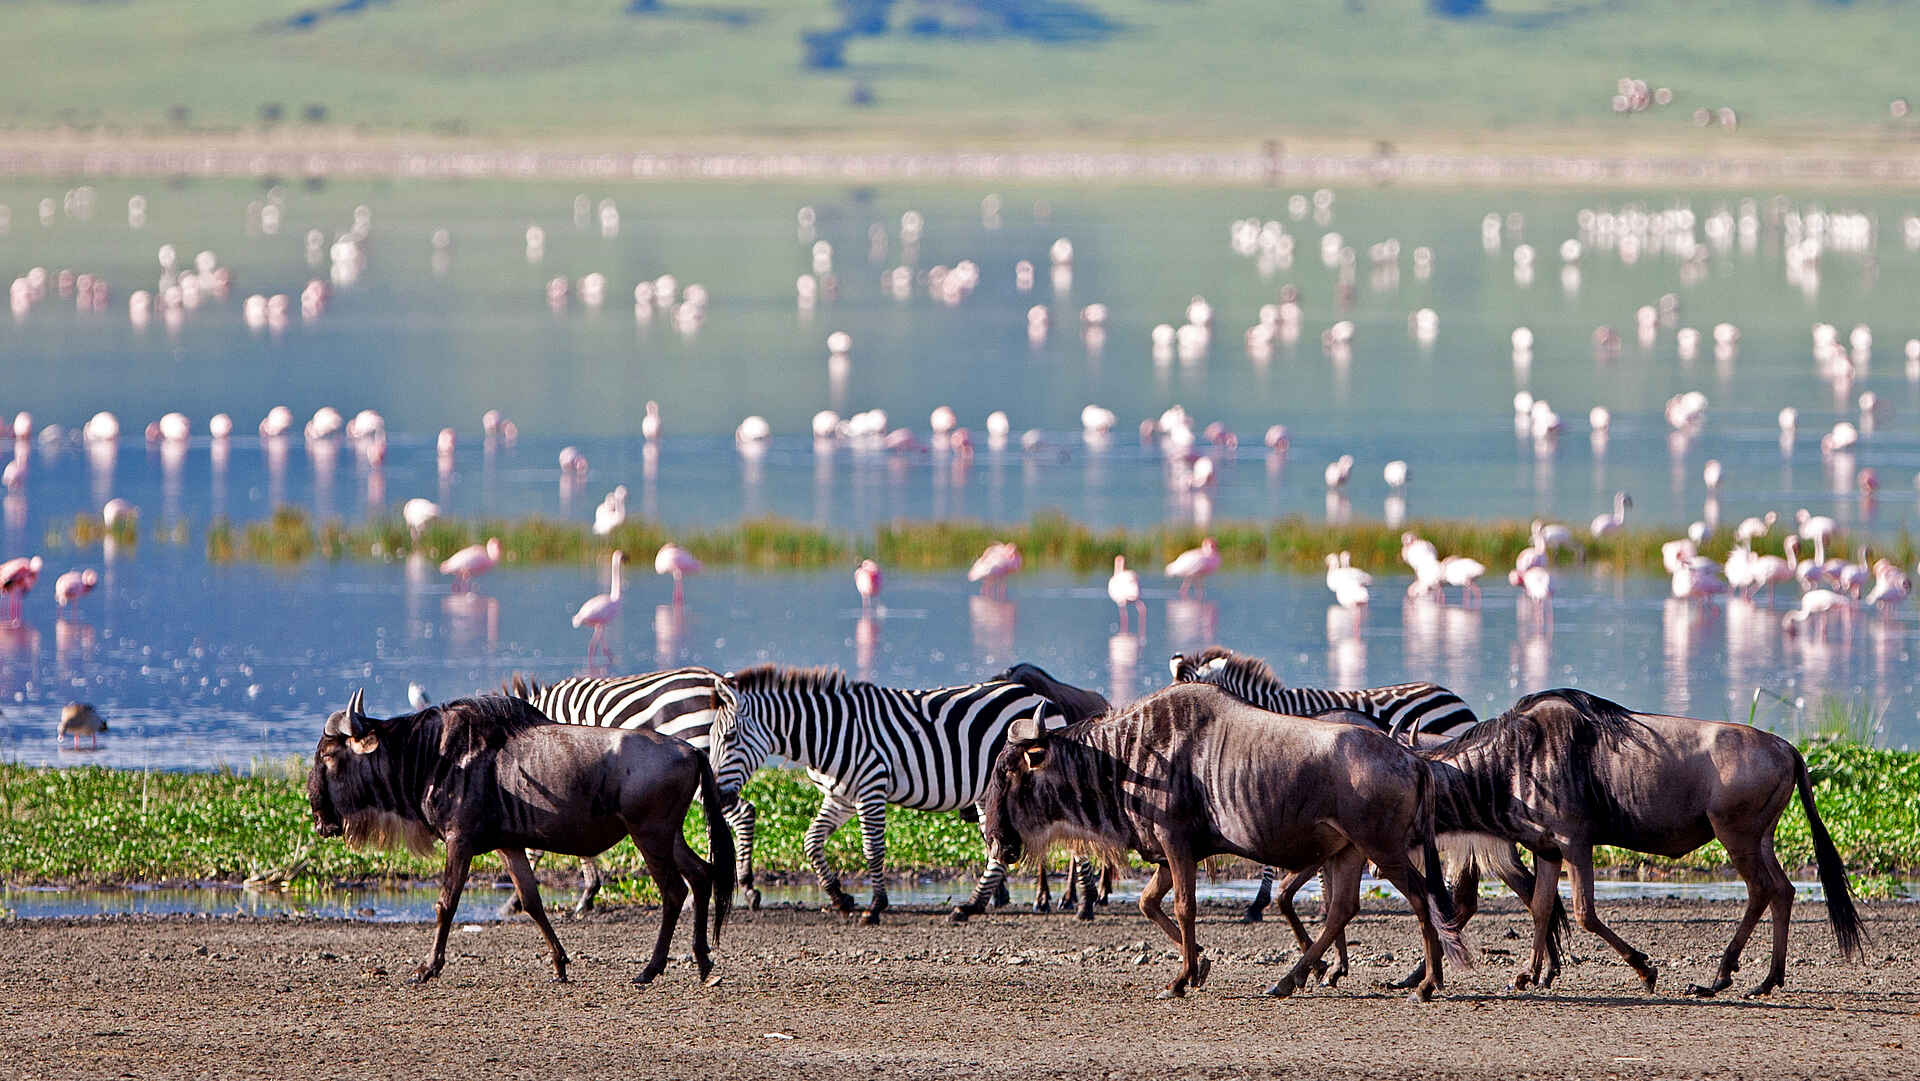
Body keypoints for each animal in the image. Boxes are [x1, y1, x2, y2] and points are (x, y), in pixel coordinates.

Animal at [706, 663, 1087, 924]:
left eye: (729, 738)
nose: (718, 798)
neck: (827, 734)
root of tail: (1043, 699)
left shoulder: (871, 789)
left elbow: (873, 850)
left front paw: (875, 907)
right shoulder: (840, 797)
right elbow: (811, 842)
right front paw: (841, 898)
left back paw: (1083, 907)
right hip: (987, 792)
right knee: (997, 848)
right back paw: (970, 907)